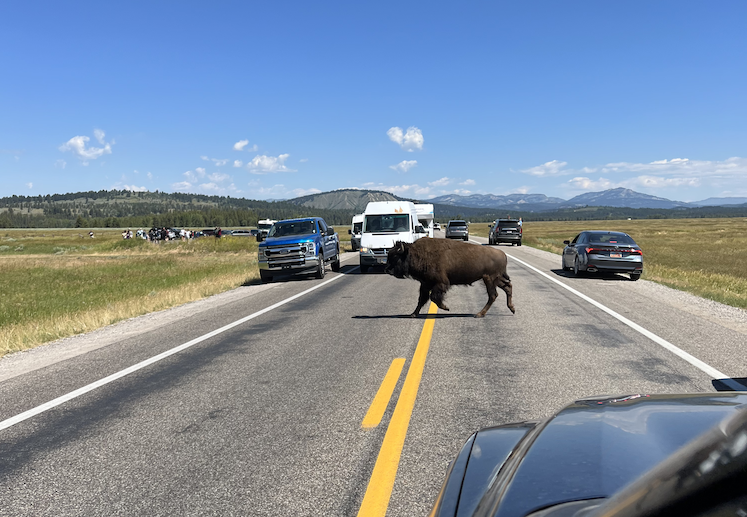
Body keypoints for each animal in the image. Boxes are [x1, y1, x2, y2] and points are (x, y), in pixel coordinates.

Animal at [384, 238, 515, 318]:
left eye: (395, 257)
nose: (387, 270)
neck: (416, 253)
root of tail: (503, 254)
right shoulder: (425, 284)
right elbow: (422, 299)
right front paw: (413, 314)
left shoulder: (441, 283)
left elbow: (433, 297)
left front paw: (446, 308)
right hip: (495, 279)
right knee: (507, 287)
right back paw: (512, 309)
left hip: (489, 279)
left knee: (493, 295)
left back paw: (479, 314)